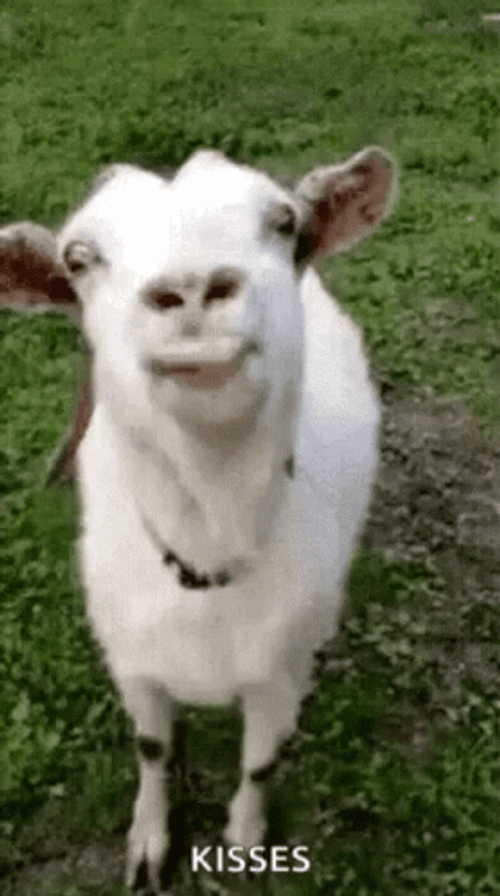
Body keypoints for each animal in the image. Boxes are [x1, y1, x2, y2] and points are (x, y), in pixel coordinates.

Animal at [1, 148, 396, 893]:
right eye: (79, 257)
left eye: (282, 222)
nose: (189, 289)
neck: (211, 543)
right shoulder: (132, 659)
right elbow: (152, 748)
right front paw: (149, 842)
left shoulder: (280, 673)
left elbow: (261, 762)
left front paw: (242, 840)